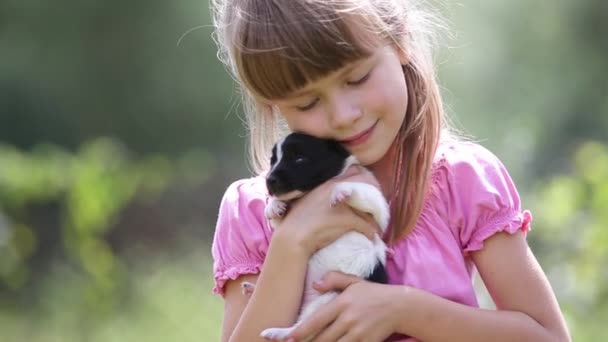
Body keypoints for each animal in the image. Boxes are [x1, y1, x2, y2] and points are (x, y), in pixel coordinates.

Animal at [247, 132, 390, 340]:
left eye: (299, 158)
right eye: (273, 160)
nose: (269, 180)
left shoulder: (379, 211)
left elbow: (361, 191)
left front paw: (341, 190)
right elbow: (278, 219)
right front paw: (273, 206)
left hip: (330, 298)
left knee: (302, 330)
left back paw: (276, 332)